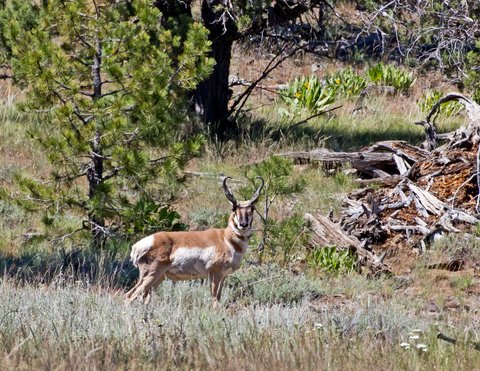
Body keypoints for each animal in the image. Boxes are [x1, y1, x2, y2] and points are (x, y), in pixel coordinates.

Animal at [125, 177, 264, 308]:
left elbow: (218, 297)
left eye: (252, 208)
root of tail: (139, 245)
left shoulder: (223, 276)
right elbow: (214, 299)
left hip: (159, 278)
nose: (243, 224)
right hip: (151, 275)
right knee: (130, 295)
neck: (226, 239)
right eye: (234, 207)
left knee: (144, 297)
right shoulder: (215, 274)